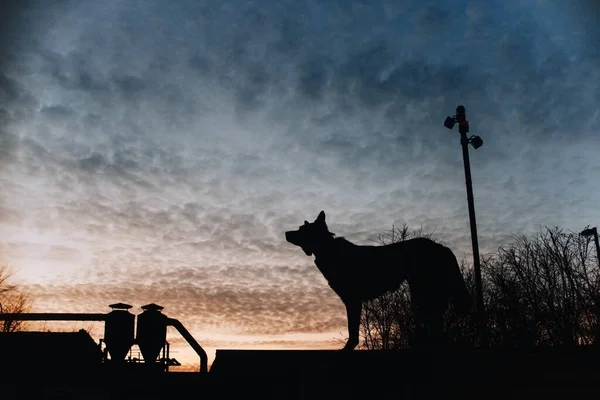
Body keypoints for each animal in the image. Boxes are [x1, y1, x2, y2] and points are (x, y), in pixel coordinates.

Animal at [284, 209, 472, 350]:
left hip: (422, 291)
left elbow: (352, 330)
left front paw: (347, 348)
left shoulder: (352, 300)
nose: (286, 232)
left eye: (300, 230)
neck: (328, 250)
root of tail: (441, 246)